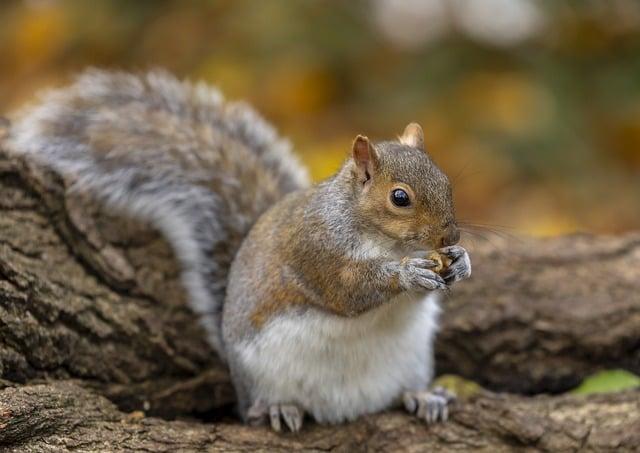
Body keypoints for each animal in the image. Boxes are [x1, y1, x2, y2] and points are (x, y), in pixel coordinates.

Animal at [5, 69, 470, 432]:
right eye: (399, 198)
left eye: (447, 180)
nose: (449, 237)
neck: (380, 238)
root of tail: (347, 408)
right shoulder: (316, 248)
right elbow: (349, 290)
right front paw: (407, 272)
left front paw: (461, 263)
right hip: (262, 374)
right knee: (255, 410)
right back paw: (276, 409)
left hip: (412, 358)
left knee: (400, 392)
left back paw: (422, 397)